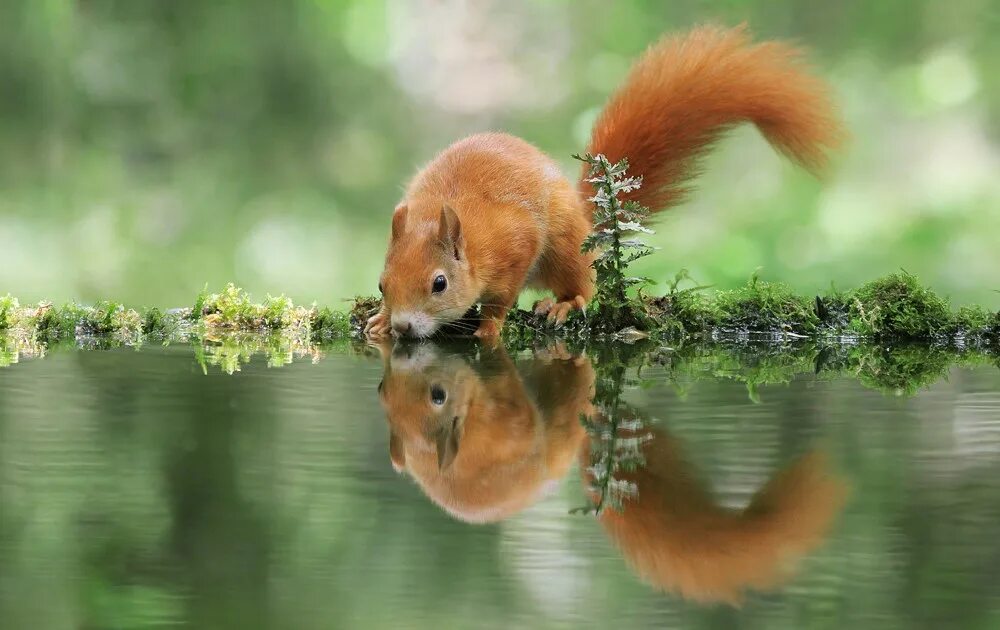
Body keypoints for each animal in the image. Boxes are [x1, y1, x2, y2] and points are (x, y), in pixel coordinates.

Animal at [368, 24, 844, 340]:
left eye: (439, 283)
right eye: (381, 283)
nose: (404, 326)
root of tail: (583, 212)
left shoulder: (514, 242)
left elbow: (502, 296)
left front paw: (490, 324)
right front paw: (380, 319)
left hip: (564, 246)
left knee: (582, 282)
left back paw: (564, 304)